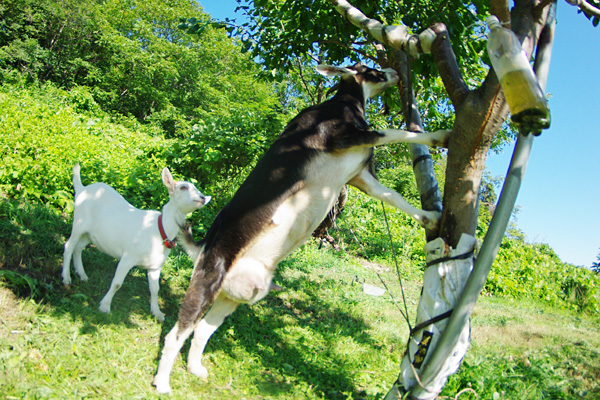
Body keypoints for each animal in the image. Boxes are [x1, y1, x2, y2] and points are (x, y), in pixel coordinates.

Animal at [61, 165, 211, 322]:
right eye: (183, 187)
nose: (202, 198)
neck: (159, 230)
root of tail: (82, 189)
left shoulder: (155, 266)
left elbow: (155, 289)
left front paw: (157, 313)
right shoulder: (127, 257)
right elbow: (117, 283)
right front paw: (105, 306)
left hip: (89, 234)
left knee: (78, 248)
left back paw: (82, 275)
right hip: (79, 223)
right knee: (68, 247)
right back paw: (66, 278)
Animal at [152, 64, 448, 392]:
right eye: (372, 69)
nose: (394, 70)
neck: (342, 104)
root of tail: (202, 248)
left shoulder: (360, 176)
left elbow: (394, 197)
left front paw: (432, 218)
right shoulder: (345, 139)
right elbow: (396, 133)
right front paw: (441, 136)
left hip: (232, 297)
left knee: (202, 330)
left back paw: (195, 369)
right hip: (206, 283)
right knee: (176, 334)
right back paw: (162, 383)